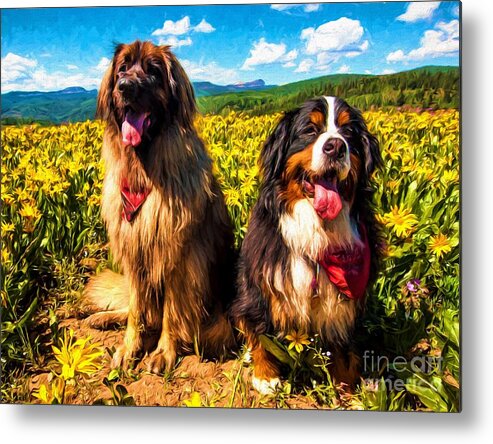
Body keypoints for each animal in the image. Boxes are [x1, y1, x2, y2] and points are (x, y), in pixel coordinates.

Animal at [83, 41, 235, 372]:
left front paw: (164, 351)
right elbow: (136, 312)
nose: (125, 87)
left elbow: (171, 312)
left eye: (153, 72)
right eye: (122, 69)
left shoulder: (179, 259)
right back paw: (103, 317)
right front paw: (129, 347)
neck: (145, 173)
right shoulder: (134, 255)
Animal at [229, 96, 382, 392]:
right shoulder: (260, 288)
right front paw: (266, 376)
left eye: (348, 132)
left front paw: (347, 386)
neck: (318, 232)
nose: (335, 146)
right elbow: (260, 331)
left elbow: (343, 347)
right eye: (310, 130)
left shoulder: (343, 305)